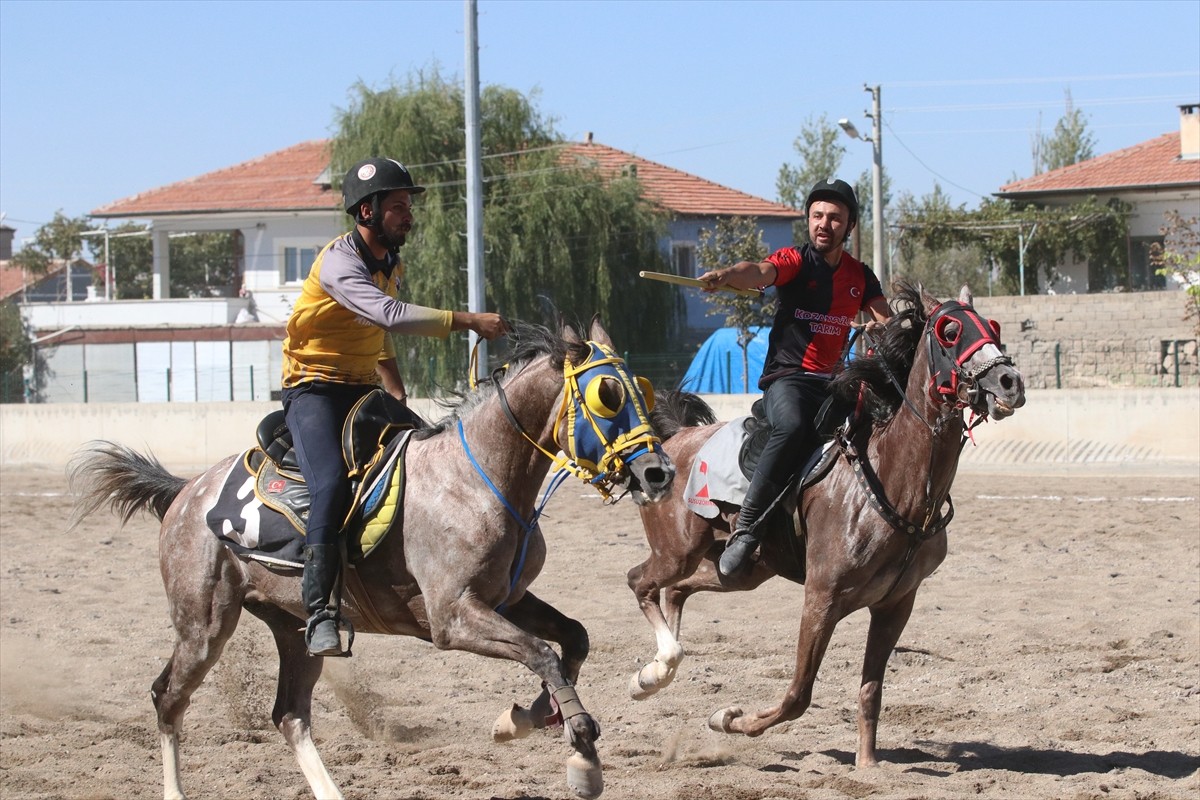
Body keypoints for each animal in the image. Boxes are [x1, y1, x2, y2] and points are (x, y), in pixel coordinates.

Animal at [70, 319, 676, 800]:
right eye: (607, 395)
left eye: (639, 390)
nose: (658, 474)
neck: (476, 476)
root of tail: (185, 491)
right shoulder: (452, 618)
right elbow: (542, 653)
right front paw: (578, 750)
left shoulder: (508, 598)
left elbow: (571, 639)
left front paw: (525, 718)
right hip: (204, 625)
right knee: (167, 697)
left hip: (294, 628)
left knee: (289, 715)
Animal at [624, 284, 1027, 767]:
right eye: (950, 331)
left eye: (993, 327)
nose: (1009, 381)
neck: (891, 481)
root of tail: (673, 443)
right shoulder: (822, 599)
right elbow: (798, 695)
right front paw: (728, 719)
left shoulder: (896, 604)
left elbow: (870, 690)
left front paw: (868, 764)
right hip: (677, 551)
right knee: (640, 581)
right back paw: (652, 674)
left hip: (741, 570)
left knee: (677, 591)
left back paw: (659, 669)